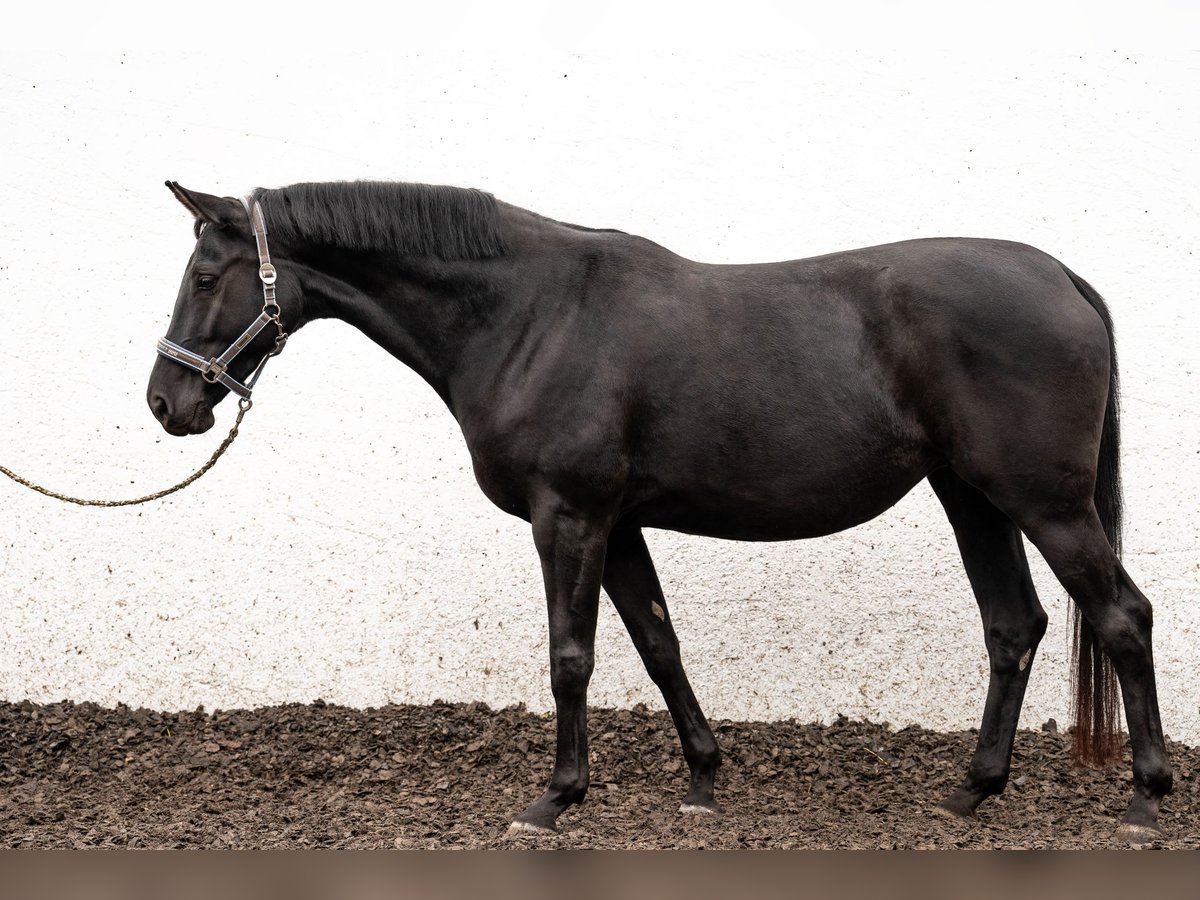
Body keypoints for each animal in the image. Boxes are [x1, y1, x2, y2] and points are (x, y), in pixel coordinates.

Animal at [147, 180, 1171, 844]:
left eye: (203, 277)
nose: (167, 403)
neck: (531, 314)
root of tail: (1062, 279)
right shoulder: (620, 522)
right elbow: (657, 641)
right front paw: (703, 781)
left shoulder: (569, 516)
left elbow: (571, 656)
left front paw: (555, 800)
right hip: (974, 498)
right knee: (1015, 626)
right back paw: (973, 793)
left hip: (1043, 502)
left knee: (1122, 616)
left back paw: (1145, 799)